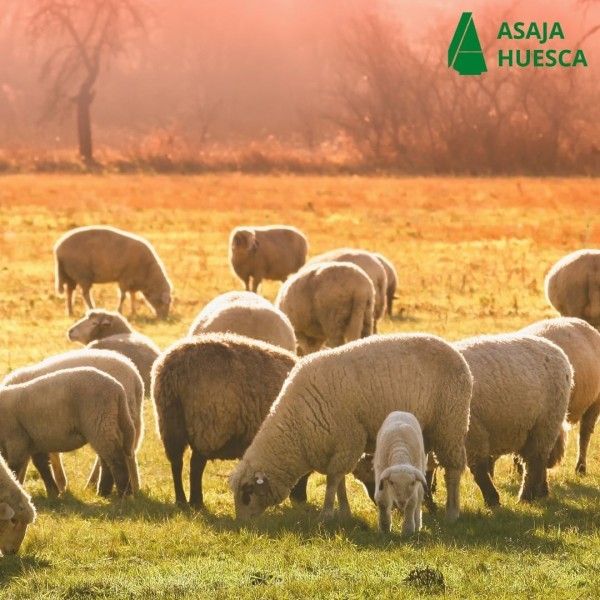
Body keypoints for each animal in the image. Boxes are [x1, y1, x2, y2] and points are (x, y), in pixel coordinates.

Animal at [2, 350, 144, 494]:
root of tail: (135, 379)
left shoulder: (21, 437)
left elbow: (22, 464)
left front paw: (59, 486)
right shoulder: (36, 436)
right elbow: (41, 461)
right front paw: (55, 488)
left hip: (101, 422)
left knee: (117, 457)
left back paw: (121, 491)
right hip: (119, 420)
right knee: (120, 455)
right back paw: (114, 489)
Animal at [150, 336, 304, 508]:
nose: (301, 500)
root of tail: (173, 368)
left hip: (170, 423)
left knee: (176, 463)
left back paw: (181, 501)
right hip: (207, 425)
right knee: (196, 466)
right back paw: (197, 502)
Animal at [230, 336, 474, 524]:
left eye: (247, 492)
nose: (242, 523)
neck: (297, 428)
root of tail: (456, 354)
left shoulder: (350, 439)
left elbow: (332, 481)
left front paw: (326, 515)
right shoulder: (337, 445)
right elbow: (339, 482)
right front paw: (344, 513)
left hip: (450, 425)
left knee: (453, 471)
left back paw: (452, 513)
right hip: (430, 431)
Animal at [452, 332, 576, 506]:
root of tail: (556, 349)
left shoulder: (473, 433)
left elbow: (478, 469)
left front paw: (492, 500)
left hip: (546, 422)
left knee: (535, 460)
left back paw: (526, 496)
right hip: (533, 427)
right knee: (538, 460)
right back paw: (541, 492)